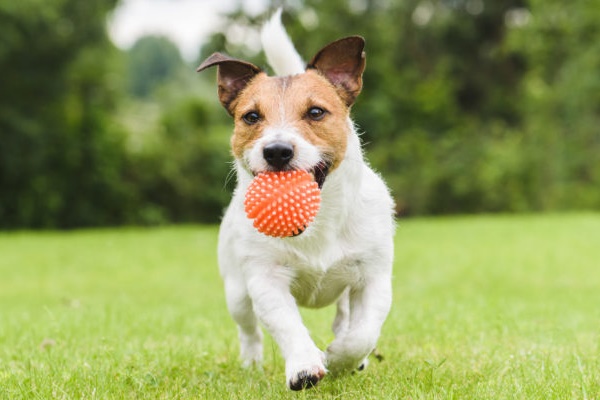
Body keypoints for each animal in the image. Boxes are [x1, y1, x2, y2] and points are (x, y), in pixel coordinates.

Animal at [197, 10, 394, 390]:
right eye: (251, 117)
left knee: (345, 317)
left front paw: (341, 357)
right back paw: (251, 363)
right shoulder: (265, 280)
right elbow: (287, 325)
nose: (276, 151)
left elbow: (362, 333)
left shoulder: (373, 277)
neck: (318, 223)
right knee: (249, 330)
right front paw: (305, 366)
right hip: (236, 292)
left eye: (316, 112)